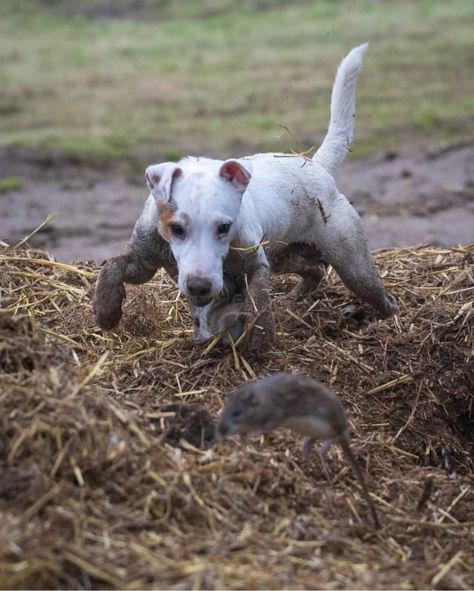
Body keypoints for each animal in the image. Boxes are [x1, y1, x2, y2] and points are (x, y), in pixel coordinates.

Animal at [94, 45, 398, 352]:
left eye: (224, 228)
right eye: (176, 228)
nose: (200, 287)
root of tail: (315, 165)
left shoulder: (255, 265)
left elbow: (259, 301)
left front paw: (260, 339)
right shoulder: (143, 260)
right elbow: (112, 267)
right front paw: (106, 312)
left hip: (352, 264)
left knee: (375, 294)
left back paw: (386, 320)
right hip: (286, 256)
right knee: (314, 271)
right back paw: (294, 298)